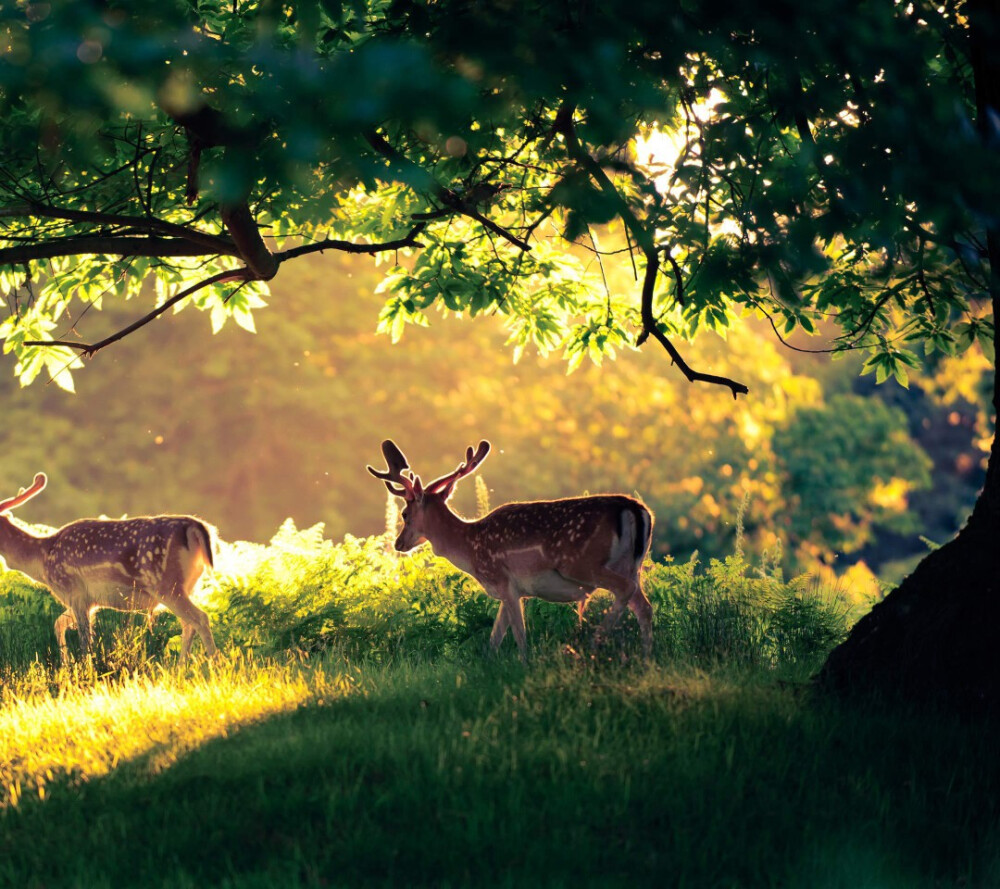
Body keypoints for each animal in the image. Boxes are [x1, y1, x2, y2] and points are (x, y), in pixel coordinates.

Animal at [0, 476, 218, 664]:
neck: (43, 560)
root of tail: (196, 527)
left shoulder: (75, 592)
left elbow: (85, 641)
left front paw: (85, 671)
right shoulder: (89, 601)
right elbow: (58, 624)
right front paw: (66, 666)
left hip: (166, 584)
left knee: (200, 618)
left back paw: (215, 666)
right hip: (188, 586)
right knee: (188, 624)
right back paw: (180, 670)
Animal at [370, 438, 656, 656]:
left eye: (405, 513)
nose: (399, 543)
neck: (469, 548)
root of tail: (636, 510)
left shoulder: (504, 580)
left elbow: (519, 635)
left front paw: (525, 664)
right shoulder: (515, 590)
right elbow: (494, 639)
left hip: (582, 562)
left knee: (625, 590)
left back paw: (593, 643)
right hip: (632, 566)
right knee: (644, 606)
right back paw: (646, 657)